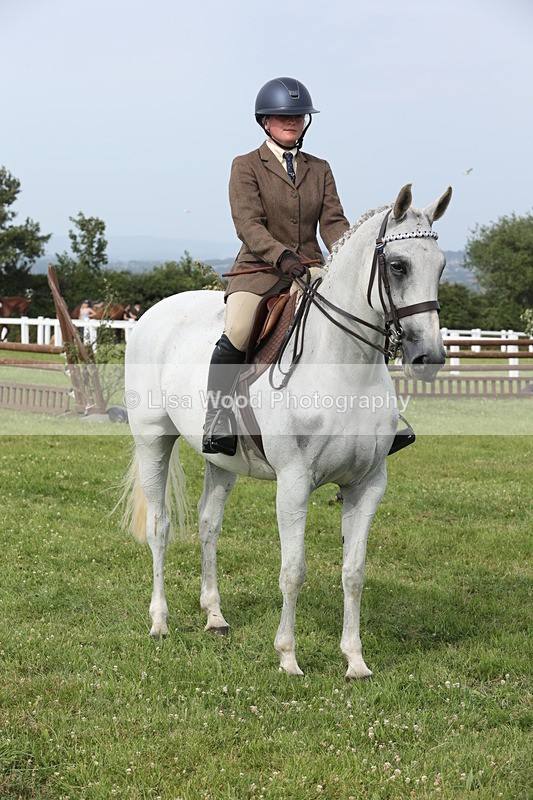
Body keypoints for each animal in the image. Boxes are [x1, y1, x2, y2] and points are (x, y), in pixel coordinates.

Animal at [122, 183, 452, 678]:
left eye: (442, 266)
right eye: (398, 266)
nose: (428, 358)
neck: (343, 369)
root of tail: (152, 314)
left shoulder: (367, 485)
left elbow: (354, 573)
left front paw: (355, 661)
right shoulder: (294, 484)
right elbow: (293, 571)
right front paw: (289, 657)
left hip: (221, 458)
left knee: (208, 523)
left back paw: (215, 616)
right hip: (152, 441)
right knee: (160, 526)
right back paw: (159, 622)